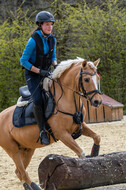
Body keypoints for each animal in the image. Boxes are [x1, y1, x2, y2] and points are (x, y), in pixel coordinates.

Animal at [0, 57, 102, 189]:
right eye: (86, 79)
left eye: (98, 79)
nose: (97, 101)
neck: (66, 100)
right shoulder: (62, 134)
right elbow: (81, 153)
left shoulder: (80, 126)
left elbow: (97, 137)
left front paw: (95, 152)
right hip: (13, 150)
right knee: (23, 173)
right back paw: (35, 186)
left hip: (28, 149)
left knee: (18, 172)